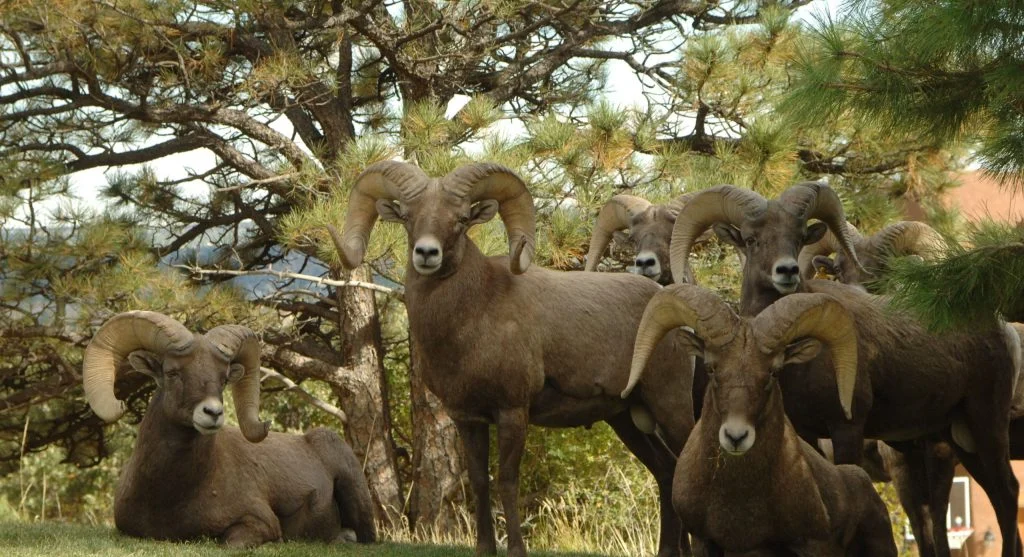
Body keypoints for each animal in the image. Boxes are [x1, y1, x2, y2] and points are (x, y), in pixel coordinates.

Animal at [82, 311, 376, 548]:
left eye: (223, 379)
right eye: (172, 373)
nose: (212, 413)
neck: (171, 495)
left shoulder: (258, 522)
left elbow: (229, 543)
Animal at [327, 160, 697, 557]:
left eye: (461, 219)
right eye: (408, 217)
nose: (426, 254)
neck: (473, 317)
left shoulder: (512, 413)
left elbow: (506, 480)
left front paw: (516, 549)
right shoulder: (468, 418)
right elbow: (479, 482)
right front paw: (485, 548)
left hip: (670, 406)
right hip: (627, 419)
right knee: (666, 473)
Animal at [668, 183, 1023, 557]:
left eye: (798, 237)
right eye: (751, 239)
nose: (787, 271)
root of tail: (1002, 329)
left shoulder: (847, 427)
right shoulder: (806, 433)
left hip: (985, 423)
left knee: (1006, 494)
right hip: (959, 438)